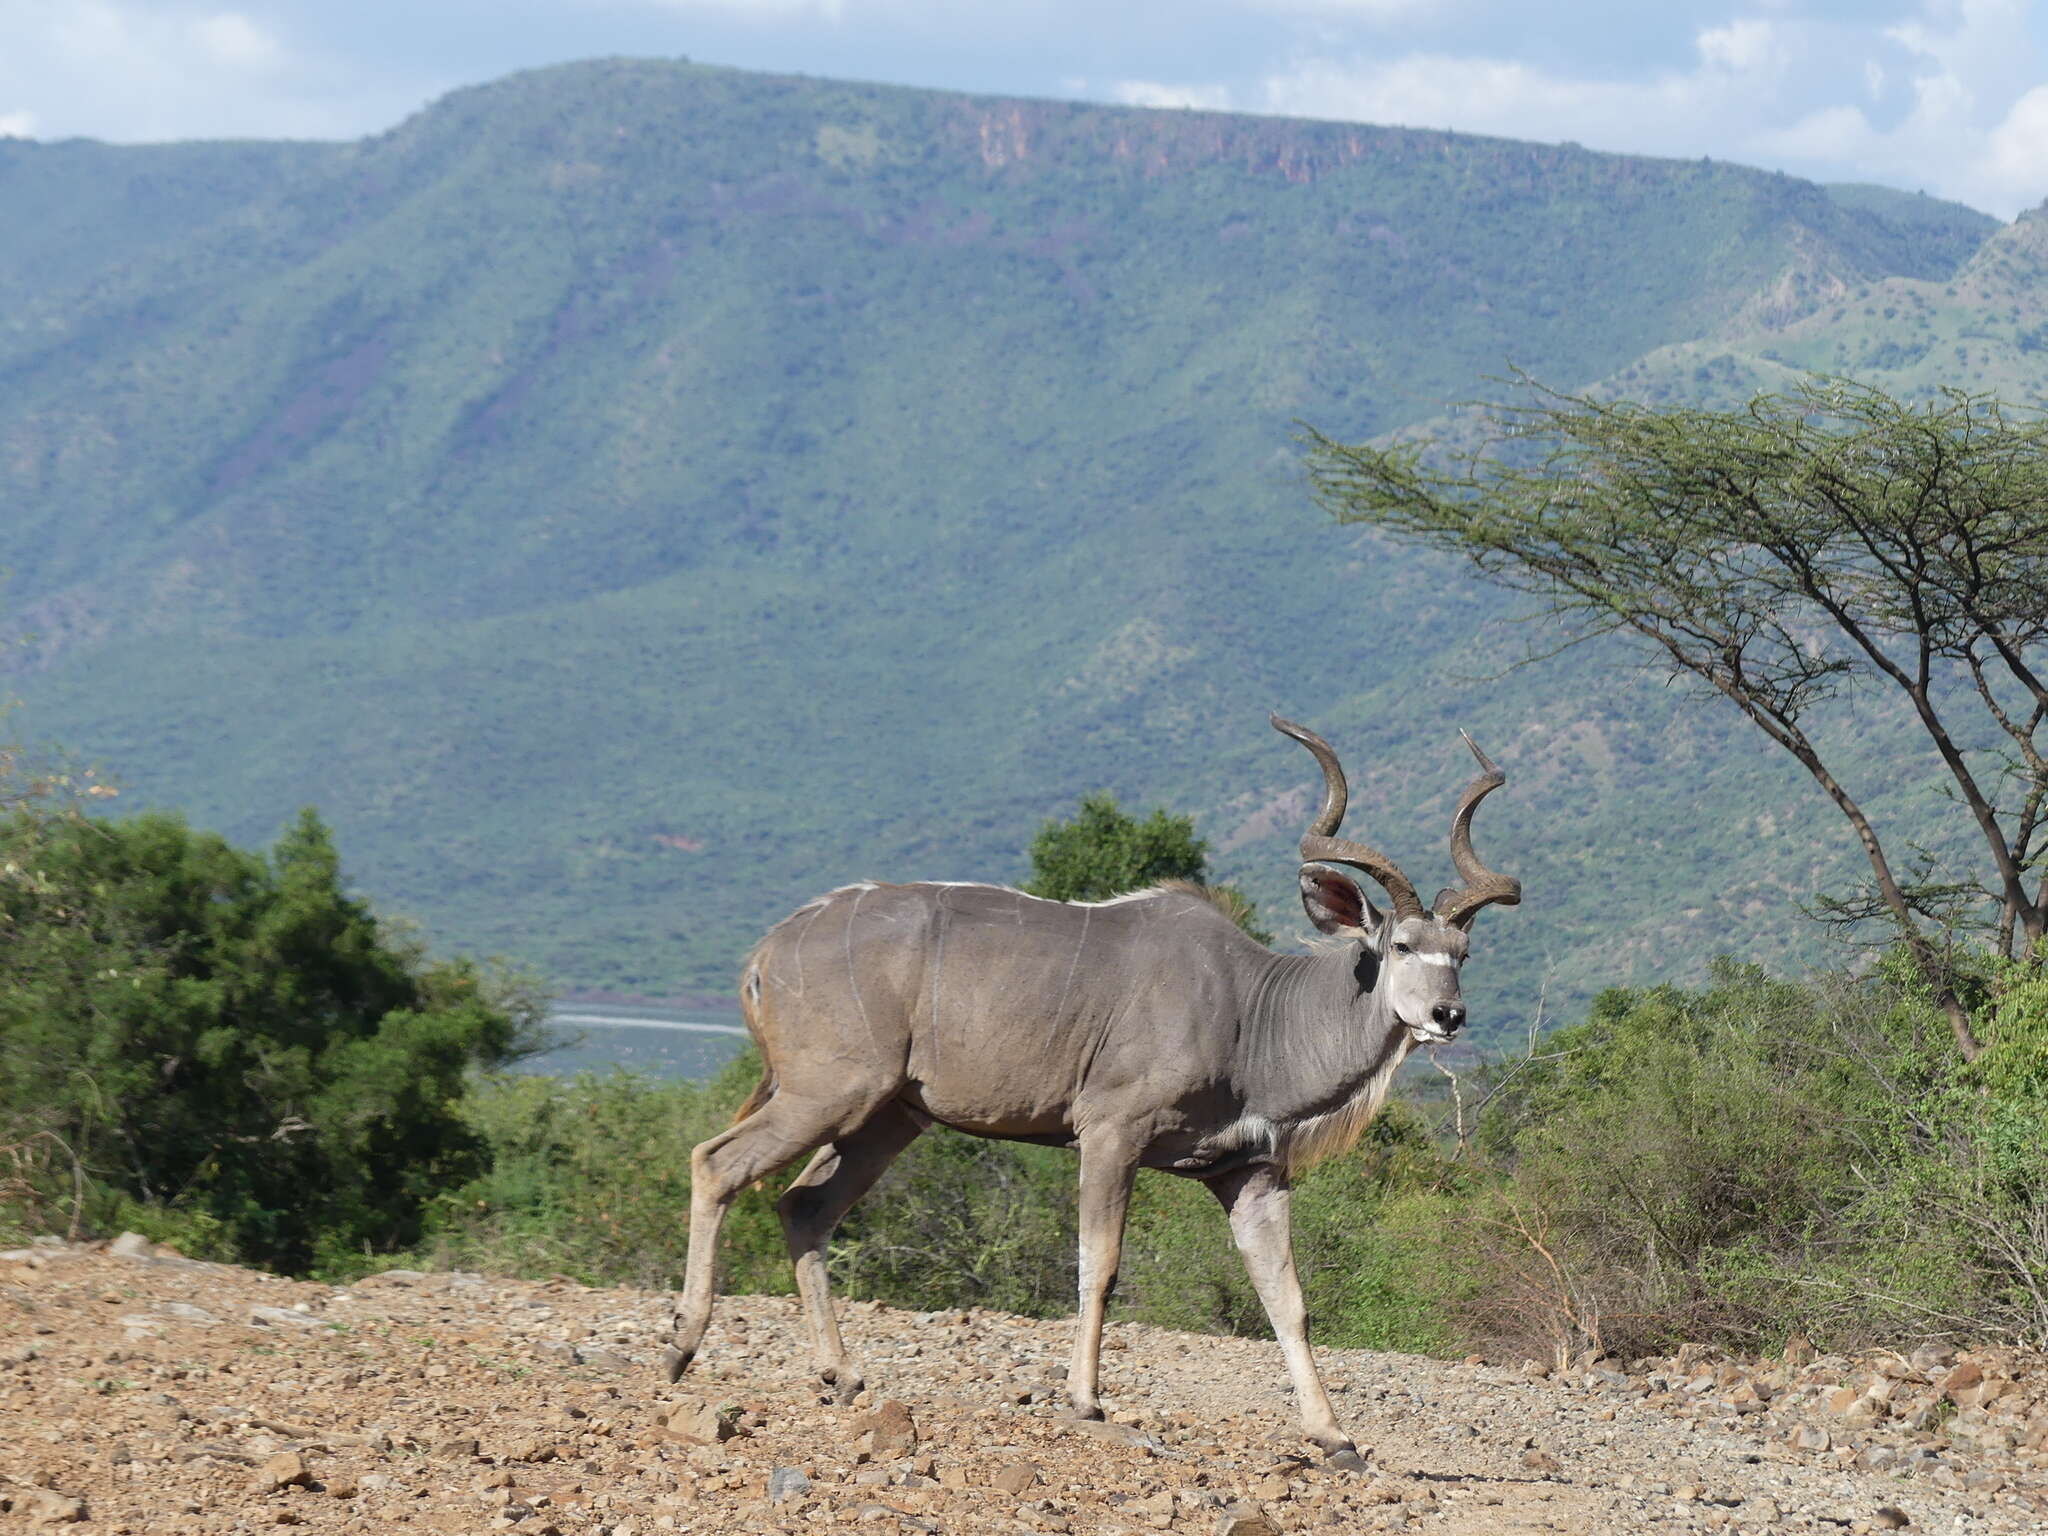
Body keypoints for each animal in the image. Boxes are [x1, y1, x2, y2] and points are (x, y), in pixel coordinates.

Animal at [671, 720, 1523, 1466]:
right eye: (1401, 945)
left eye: (1464, 952)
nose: (1449, 1015)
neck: (1253, 1011)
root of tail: (768, 949)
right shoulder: (1112, 1132)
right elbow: (1101, 1264)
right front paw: (1086, 1402)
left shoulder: (1249, 1173)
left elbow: (1287, 1298)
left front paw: (1335, 1439)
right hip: (830, 1092)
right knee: (717, 1163)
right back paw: (681, 1346)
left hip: (888, 1117)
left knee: (803, 1206)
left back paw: (841, 1376)